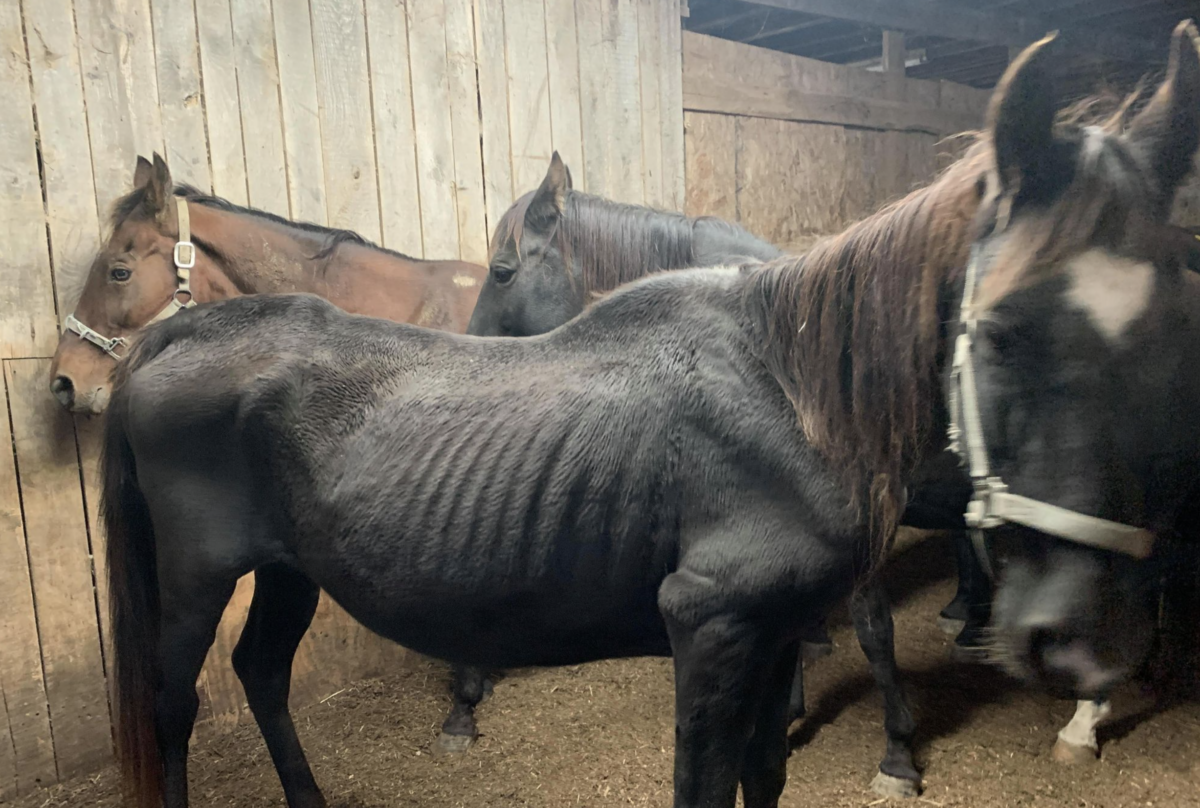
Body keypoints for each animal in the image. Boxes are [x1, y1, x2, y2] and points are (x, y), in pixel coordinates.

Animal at [98, 33, 1186, 808]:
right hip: (197, 578)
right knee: (174, 703)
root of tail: (174, 334)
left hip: (287, 570)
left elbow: (766, 776)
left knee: (260, 673)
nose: (1076, 637)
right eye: (997, 329)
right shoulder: (711, 628)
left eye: (1168, 329)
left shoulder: (775, 631)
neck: (791, 390)